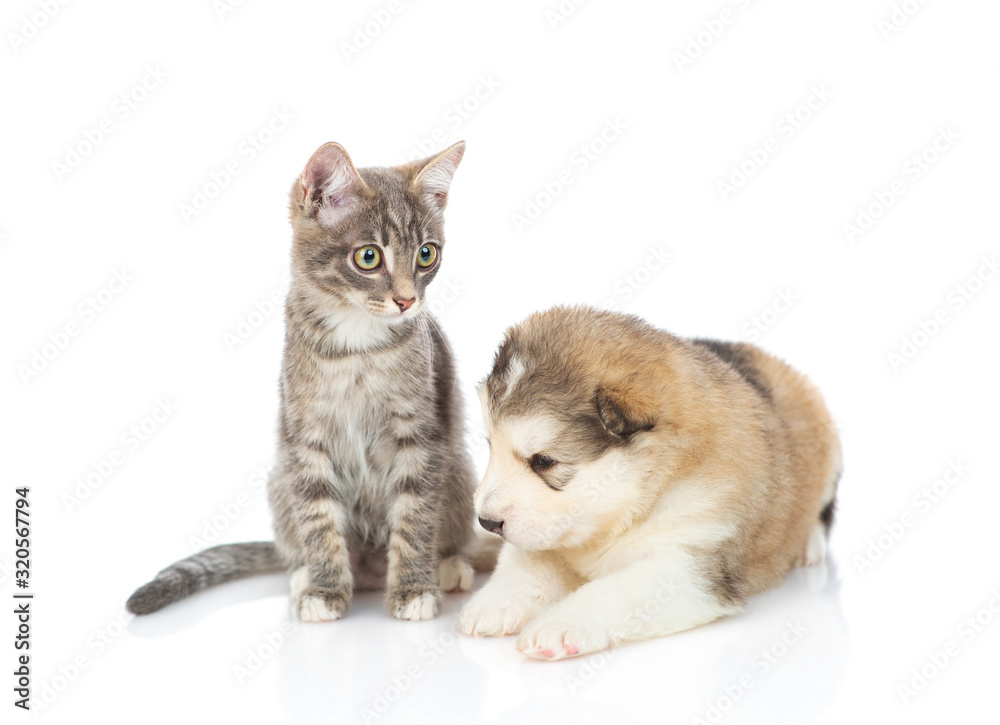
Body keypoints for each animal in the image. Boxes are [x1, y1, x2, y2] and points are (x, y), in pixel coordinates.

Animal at [131, 143, 490, 624]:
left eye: (426, 255)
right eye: (368, 257)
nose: (407, 300)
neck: (358, 345)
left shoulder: (420, 434)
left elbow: (415, 514)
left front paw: (414, 587)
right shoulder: (304, 436)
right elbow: (318, 518)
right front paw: (324, 588)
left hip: (458, 468)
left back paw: (447, 566)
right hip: (279, 478)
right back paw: (305, 574)